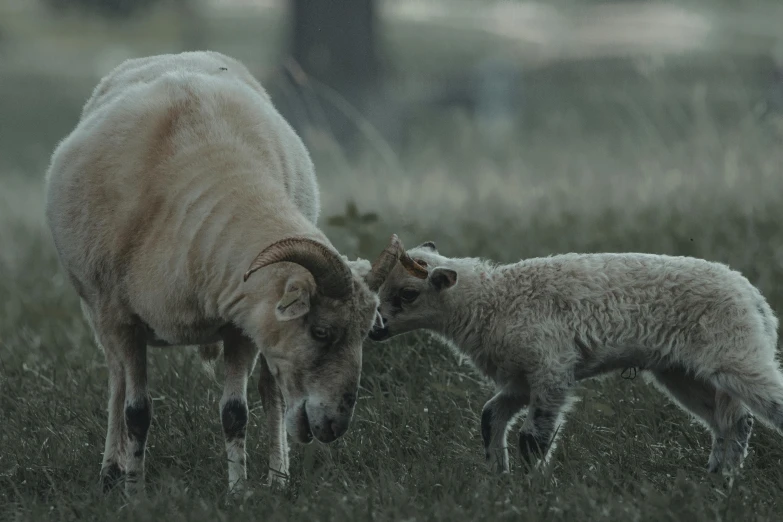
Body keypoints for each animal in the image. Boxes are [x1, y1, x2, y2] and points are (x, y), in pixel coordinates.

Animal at [42, 51, 398, 496]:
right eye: (320, 331)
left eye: (366, 334)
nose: (335, 426)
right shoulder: (122, 319)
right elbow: (136, 411)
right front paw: (135, 494)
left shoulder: (241, 323)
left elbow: (235, 412)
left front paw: (239, 492)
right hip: (99, 314)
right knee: (117, 383)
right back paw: (111, 471)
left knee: (272, 393)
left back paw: (278, 478)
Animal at [368, 240, 783, 476]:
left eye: (407, 294)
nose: (374, 329)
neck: (491, 301)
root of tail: (754, 297)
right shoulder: (521, 378)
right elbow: (490, 416)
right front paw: (498, 478)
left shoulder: (550, 368)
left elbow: (532, 437)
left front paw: (530, 487)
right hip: (684, 372)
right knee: (734, 421)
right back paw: (718, 480)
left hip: (735, 353)